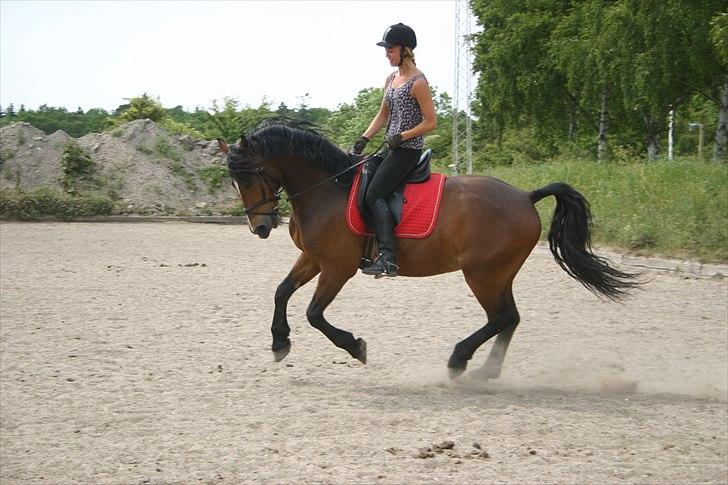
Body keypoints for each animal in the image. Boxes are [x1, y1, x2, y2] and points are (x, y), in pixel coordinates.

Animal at [216, 117, 636, 378]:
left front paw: (356, 347)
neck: (327, 188)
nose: (260, 227)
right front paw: (279, 342)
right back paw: (486, 371)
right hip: (498, 274)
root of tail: (525, 197)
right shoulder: (314, 258)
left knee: (501, 317)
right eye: (235, 182)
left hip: (482, 274)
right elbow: (281, 291)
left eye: (251, 176)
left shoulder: (338, 267)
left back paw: (459, 360)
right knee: (511, 318)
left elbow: (314, 314)